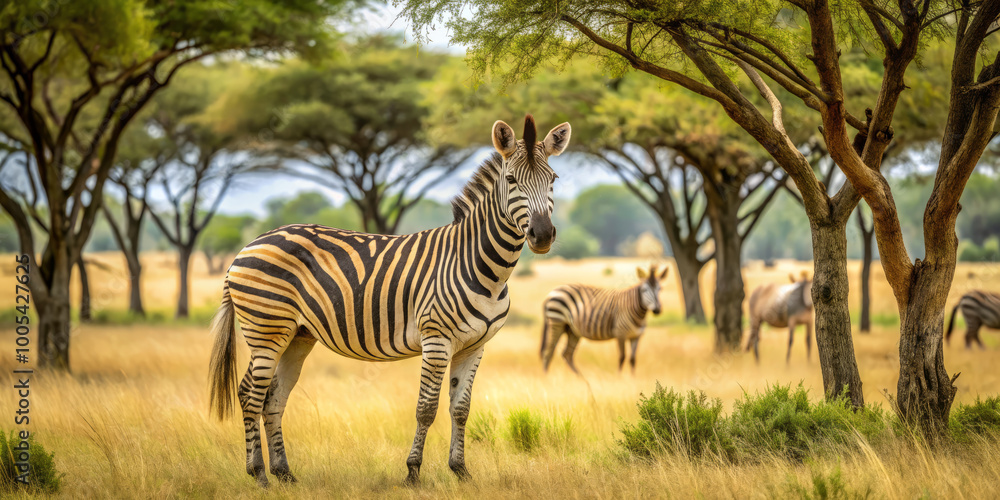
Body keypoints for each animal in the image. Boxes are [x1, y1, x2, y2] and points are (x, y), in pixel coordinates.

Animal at [207, 115, 571, 487]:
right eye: (511, 180)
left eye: (553, 180)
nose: (543, 235)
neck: (483, 268)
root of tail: (250, 244)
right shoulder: (436, 339)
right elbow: (426, 409)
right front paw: (413, 472)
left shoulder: (475, 345)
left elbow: (460, 409)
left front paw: (460, 471)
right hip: (266, 330)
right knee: (249, 394)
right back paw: (259, 474)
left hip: (296, 336)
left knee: (273, 396)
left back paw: (284, 473)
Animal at [540, 265, 668, 374]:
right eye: (644, 290)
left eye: (660, 289)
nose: (657, 310)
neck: (638, 313)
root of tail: (551, 293)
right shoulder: (620, 334)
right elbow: (622, 357)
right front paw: (620, 378)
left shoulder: (636, 337)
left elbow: (632, 359)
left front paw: (633, 379)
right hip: (557, 322)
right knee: (548, 352)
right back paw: (548, 379)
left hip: (572, 330)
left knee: (567, 354)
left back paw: (581, 379)